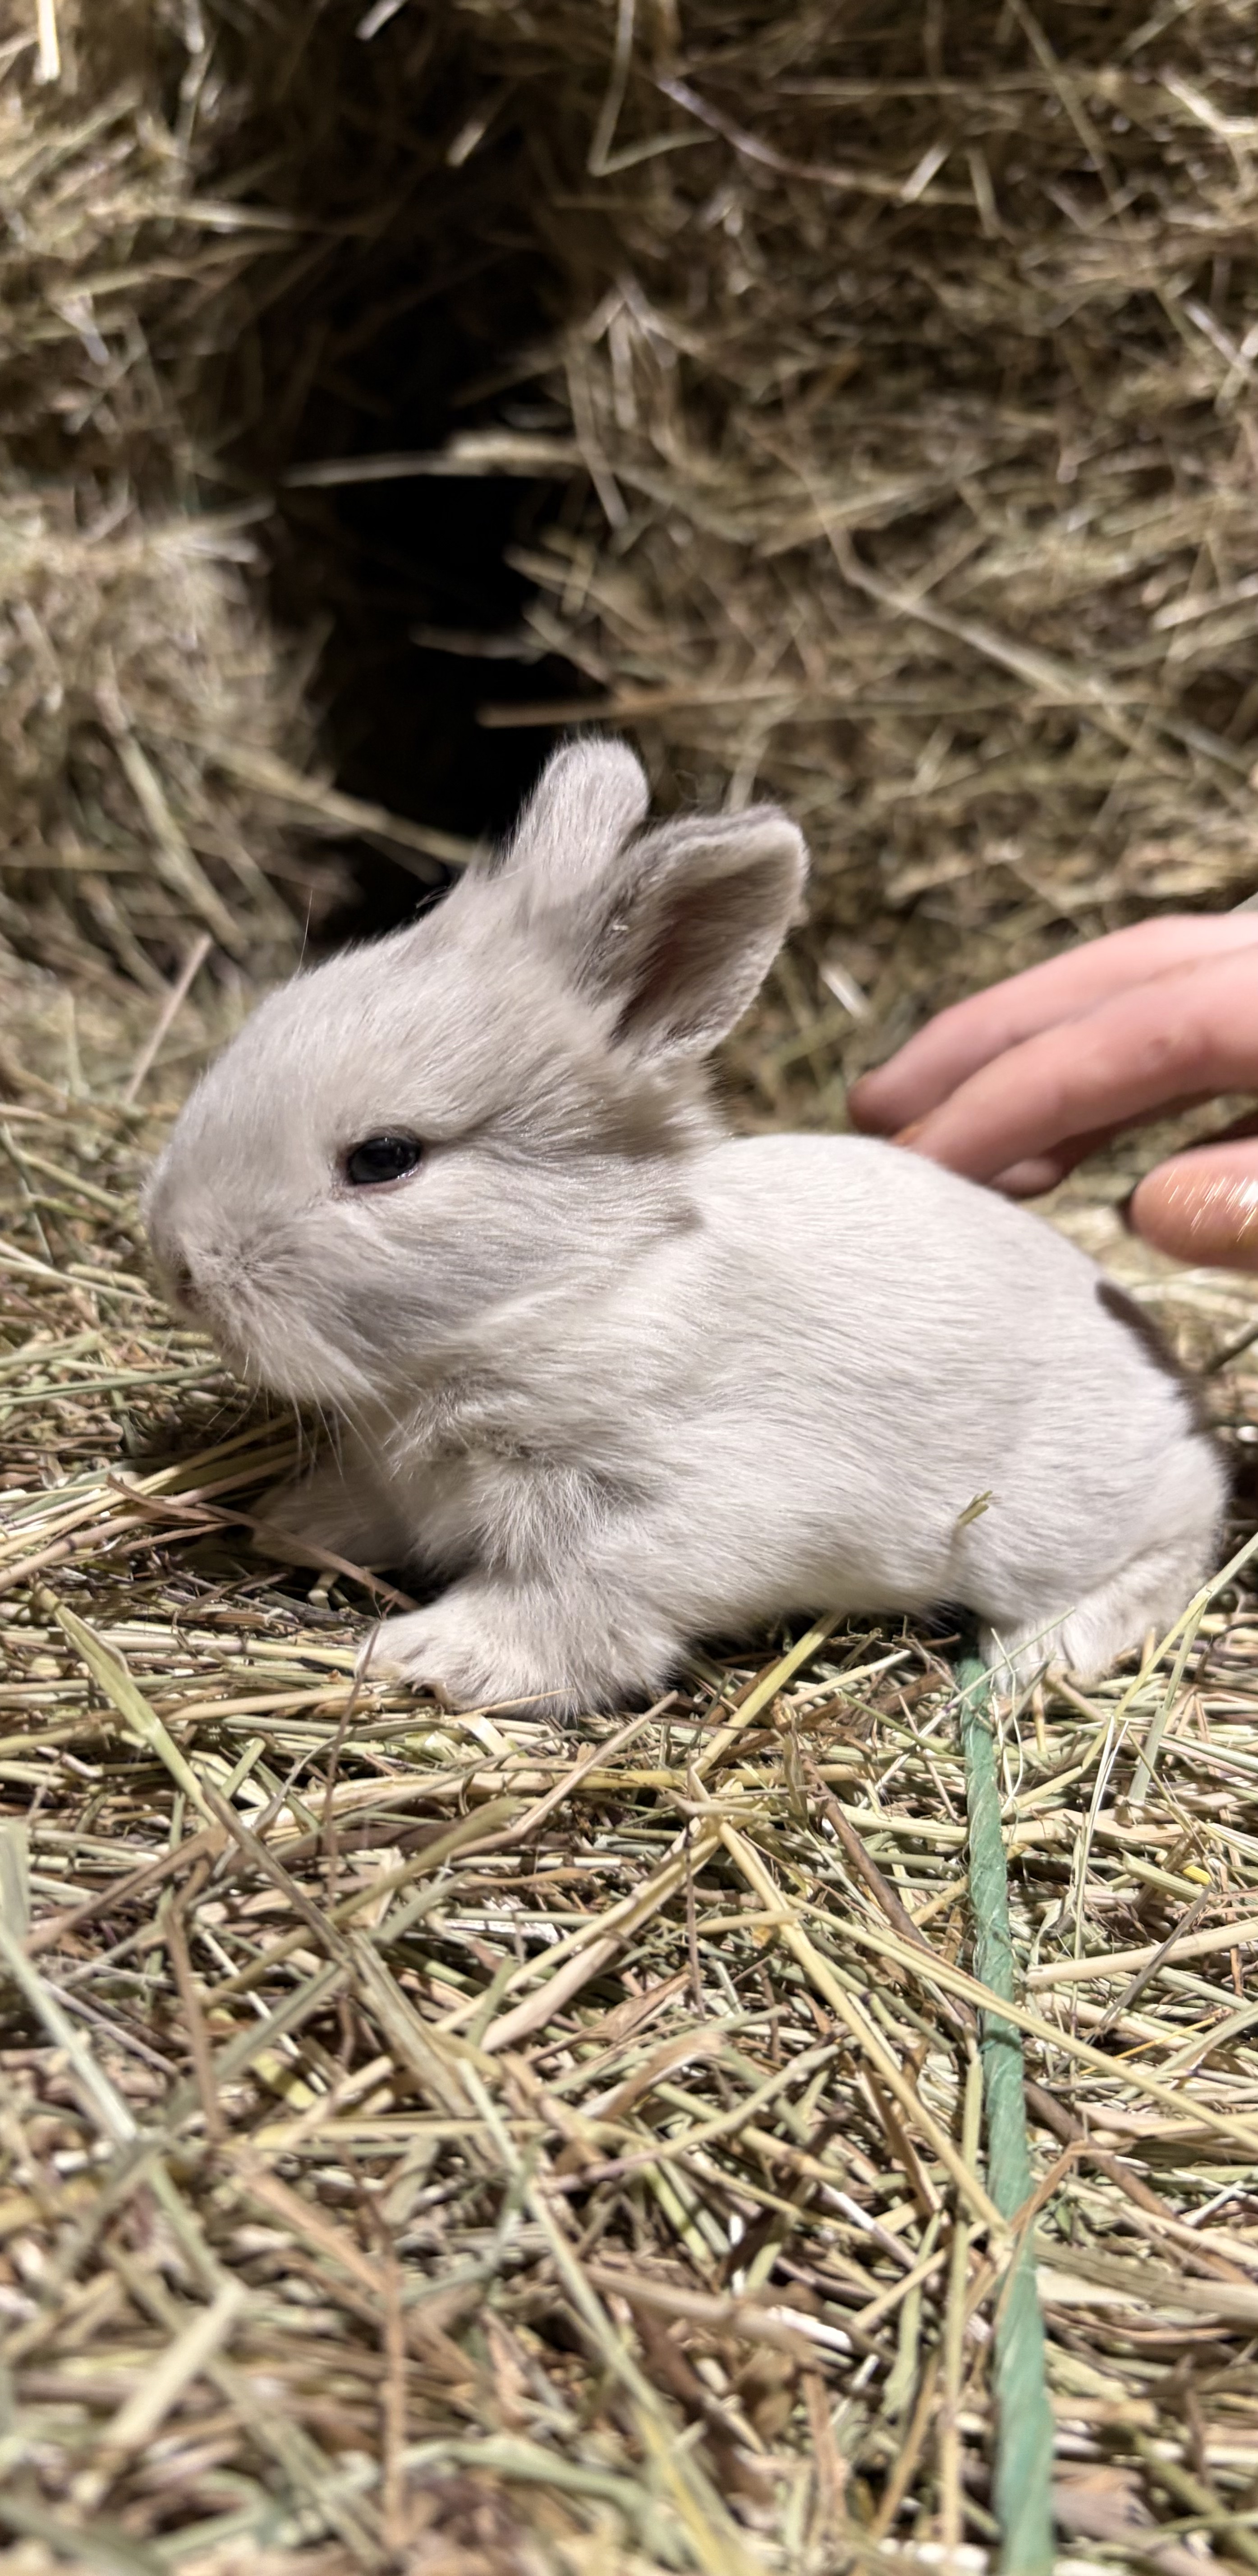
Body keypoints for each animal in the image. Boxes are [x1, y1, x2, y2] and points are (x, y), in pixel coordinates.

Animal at [144, 739, 1226, 1715]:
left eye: (384, 1158)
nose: (179, 1266)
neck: (568, 1289)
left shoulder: (648, 1509)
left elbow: (567, 1607)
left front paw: (429, 1655)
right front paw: (289, 1520)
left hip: (1051, 1522)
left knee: (1182, 1529)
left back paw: (1028, 1664)